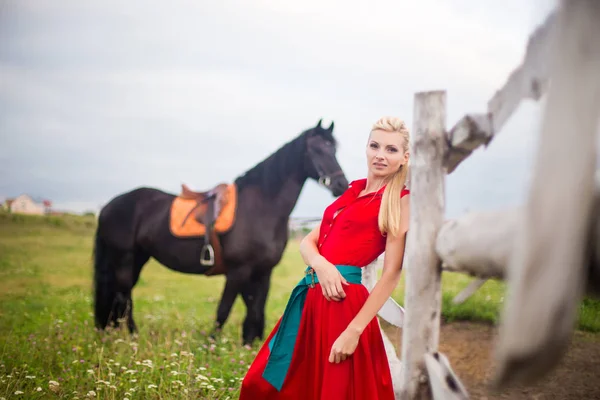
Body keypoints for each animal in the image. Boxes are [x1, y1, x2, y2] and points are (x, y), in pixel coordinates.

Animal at [91, 119, 350, 344]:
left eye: (334, 149)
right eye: (316, 149)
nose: (341, 185)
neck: (261, 208)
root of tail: (109, 206)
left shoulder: (263, 272)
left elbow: (256, 312)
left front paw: (249, 345)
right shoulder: (238, 271)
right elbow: (224, 311)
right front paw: (211, 345)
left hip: (137, 258)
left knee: (119, 296)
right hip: (124, 258)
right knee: (124, 296)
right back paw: (134, 335)